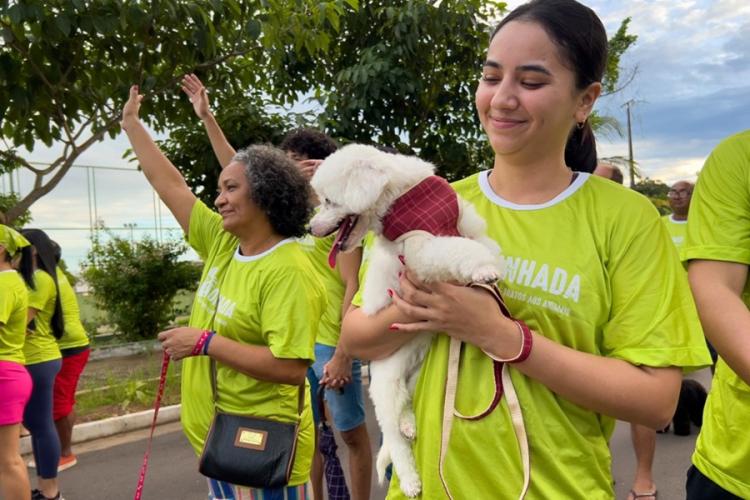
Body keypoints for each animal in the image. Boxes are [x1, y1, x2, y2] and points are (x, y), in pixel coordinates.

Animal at [308, 144, 502, 496]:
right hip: (386, 383)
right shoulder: (419, 252)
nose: (308, 229)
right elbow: (453, 250)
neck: (399, 196)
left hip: (415, 371)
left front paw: (491, 271)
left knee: (406, 406)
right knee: (393, 437)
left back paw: (409, 423)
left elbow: (480, 244)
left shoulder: (466, 225)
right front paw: (483, 270)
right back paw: (410, 479)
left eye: (328, 201)